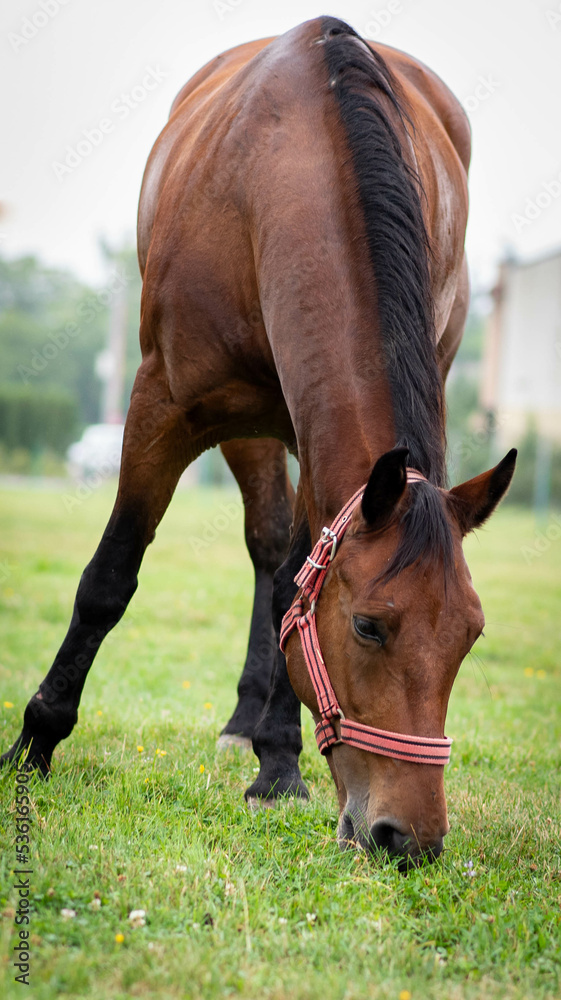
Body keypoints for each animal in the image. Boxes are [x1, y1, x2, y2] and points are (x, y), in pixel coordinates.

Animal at [2, 17, 516, 868]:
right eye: (368, 625)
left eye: (470, 634)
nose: (408, 839)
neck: (287, 174)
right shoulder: (164, 405)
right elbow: (110, 579)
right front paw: (34, 744)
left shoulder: (316, 437)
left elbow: (290, 586)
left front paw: (279, 765)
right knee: (268, 545)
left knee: (279, 559)